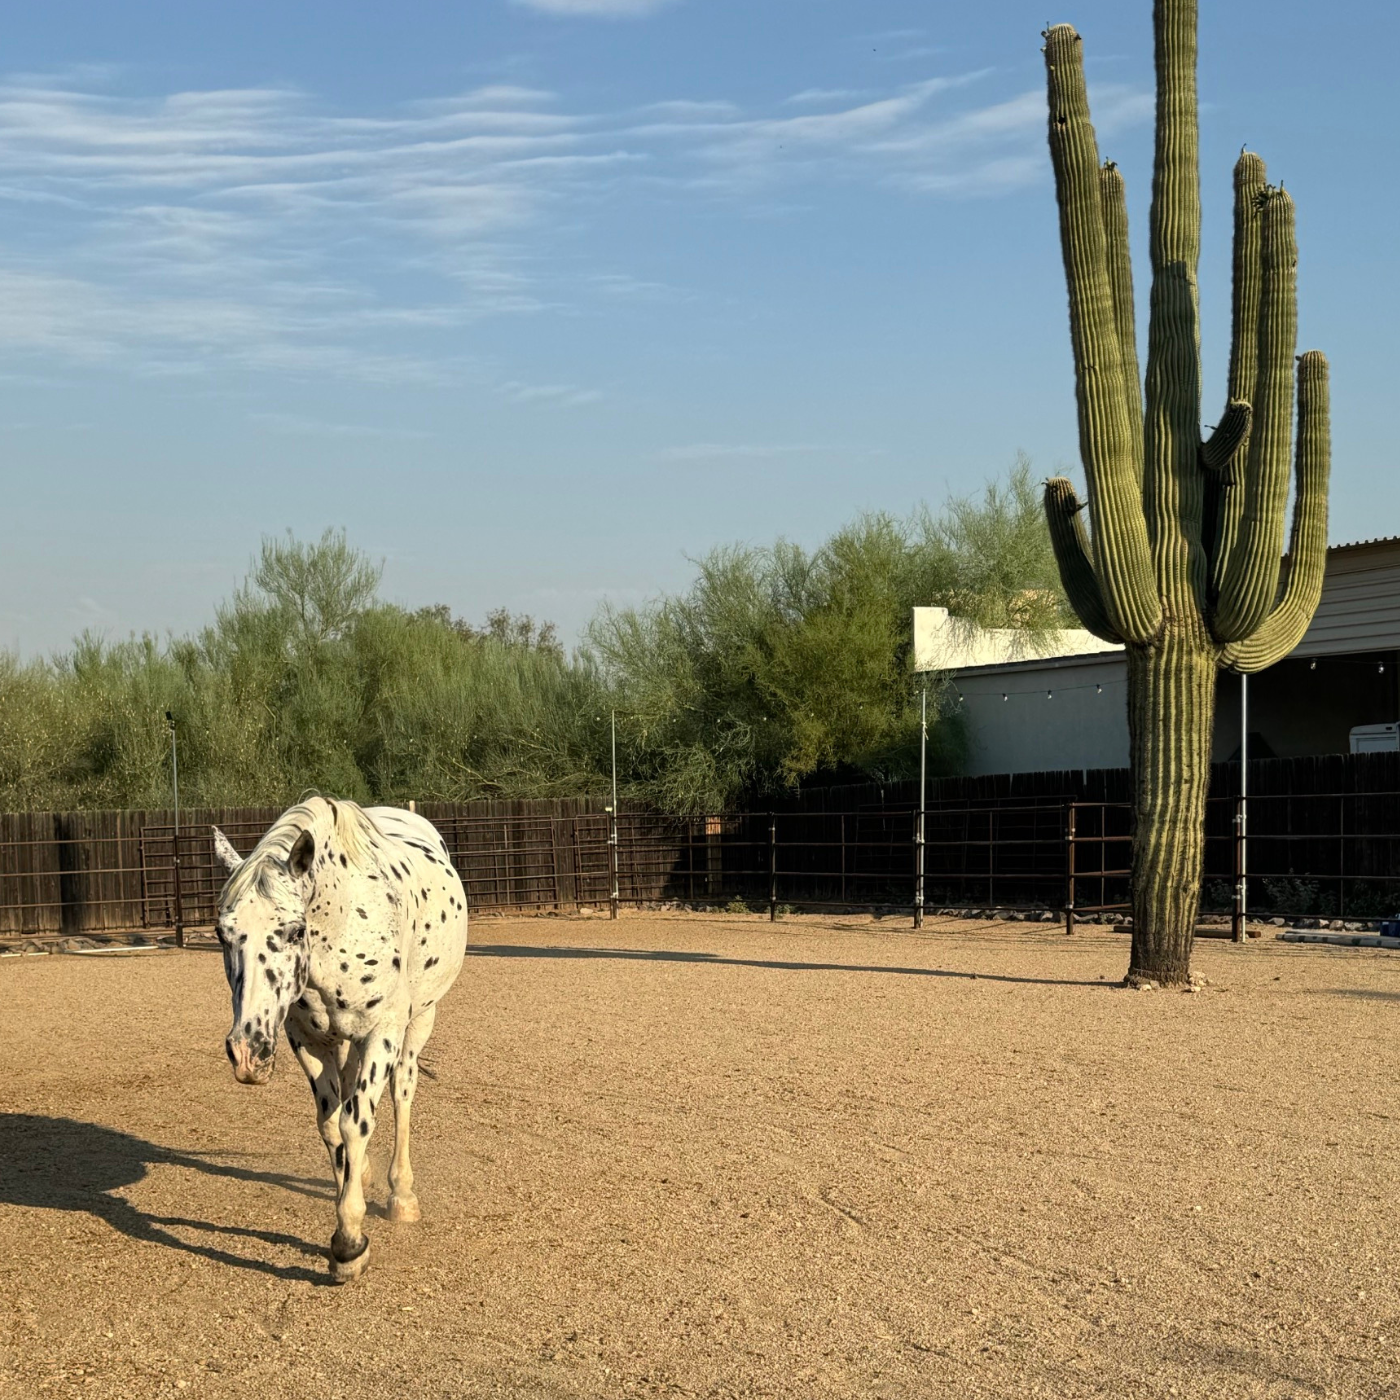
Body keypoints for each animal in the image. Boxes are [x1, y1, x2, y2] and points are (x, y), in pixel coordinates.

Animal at [210, 800, 467, 1282]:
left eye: (295, 931)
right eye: (222, 933)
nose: (248, 1053)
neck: (343, 926)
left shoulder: (382, 1033)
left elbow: (357, 1120)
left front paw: (349, 1242)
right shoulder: (307, 1039)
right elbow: (331, 1124)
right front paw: (346, 1193)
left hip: (419, 1023)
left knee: (402, 1094)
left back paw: (401, 1195)